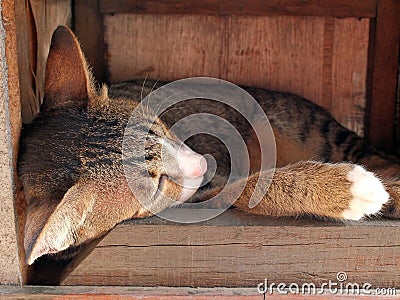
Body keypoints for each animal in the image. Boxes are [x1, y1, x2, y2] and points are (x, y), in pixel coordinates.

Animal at [18, 25, 400, 282]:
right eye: (157, 185)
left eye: (158, 122)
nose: (201, 163)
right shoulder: (205, 192)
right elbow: (252, 187)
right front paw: (351, 191)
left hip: (312, 127)